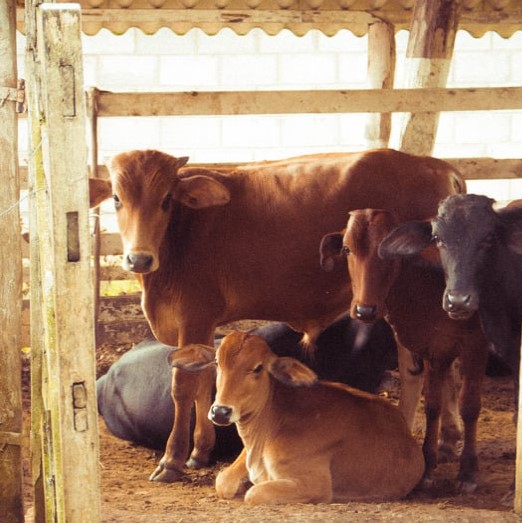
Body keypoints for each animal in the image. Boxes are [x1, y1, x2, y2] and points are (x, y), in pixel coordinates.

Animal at [170, 334, 422, 506]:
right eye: (217, 363)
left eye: (258, 368)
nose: (220, 412)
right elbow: (222, 482)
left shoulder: (315, 484)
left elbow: (254, 494)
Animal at [316, 208, 488, 492]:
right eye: (346, 248)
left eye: (390, 251)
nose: (365, 310)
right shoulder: (434, 349)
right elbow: (433, 405)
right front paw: (427, 466)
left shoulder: (476, 345)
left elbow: (470, 406)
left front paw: (468, 473)